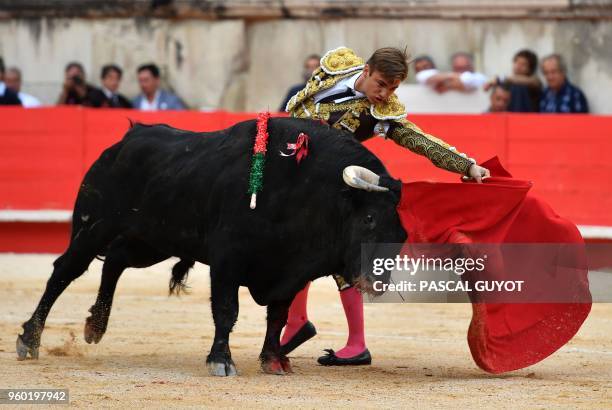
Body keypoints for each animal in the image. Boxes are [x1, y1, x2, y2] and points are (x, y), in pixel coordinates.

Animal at [15, 117, 406, 376]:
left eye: (401, 234)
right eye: (369, 219)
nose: (377, 283)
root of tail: (128, 138)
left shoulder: (289, 270)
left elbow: (277, 315)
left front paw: (273, 360)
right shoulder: (227, 260)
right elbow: (226, 310)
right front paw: (221, 359)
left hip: (151, 241)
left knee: (115, 260)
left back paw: (95, 325)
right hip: (94, 226)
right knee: (65, 271)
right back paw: (30, 340)